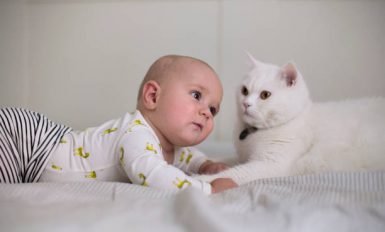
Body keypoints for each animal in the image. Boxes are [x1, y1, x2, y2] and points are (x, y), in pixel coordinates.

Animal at [196, 52, 382, 185]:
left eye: (265, 95)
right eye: (244, 90)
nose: (246, 104)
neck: (255, 133)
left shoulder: (270, 165)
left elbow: (234, 173)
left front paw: (201, 180)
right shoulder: (243, 157)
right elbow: (221, 159)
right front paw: (209, 165)